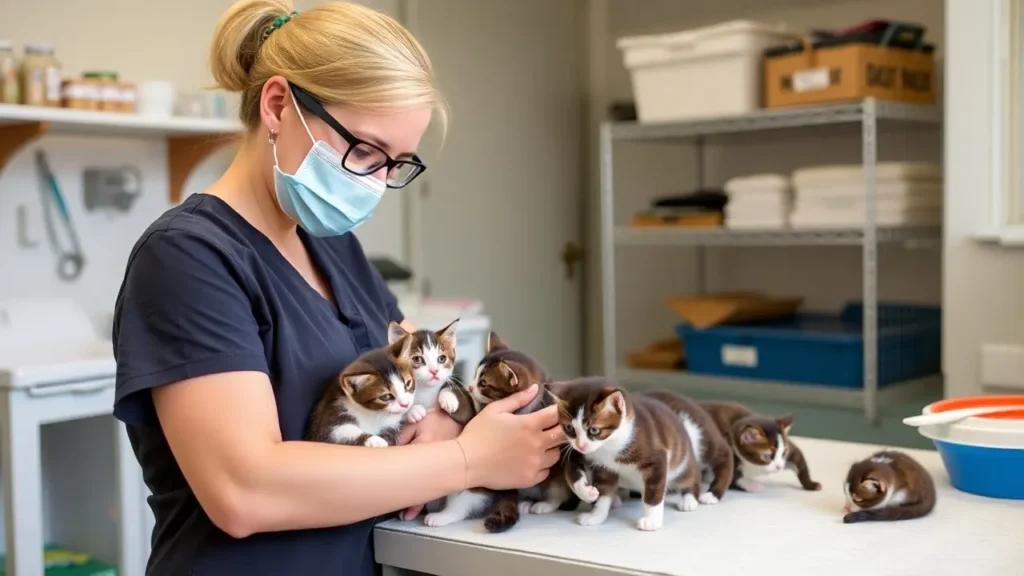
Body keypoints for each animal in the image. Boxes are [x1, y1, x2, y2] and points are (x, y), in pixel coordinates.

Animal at [419, 330, 573, 532]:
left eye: (484, 383)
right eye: (475, 375)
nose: (470, 386)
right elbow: (465, 408)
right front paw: (449, 398)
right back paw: (523, 503)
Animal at [552, 377, 704, 528]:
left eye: (594, 430)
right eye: (569, 428)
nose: (580, 445)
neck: (608, 445)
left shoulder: (656, 457)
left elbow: (654, 489)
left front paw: (651, 521)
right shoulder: (603, 467)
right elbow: (603, 491)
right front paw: (595, 515)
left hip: (681, 462)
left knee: (690, 475)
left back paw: (689, 499)